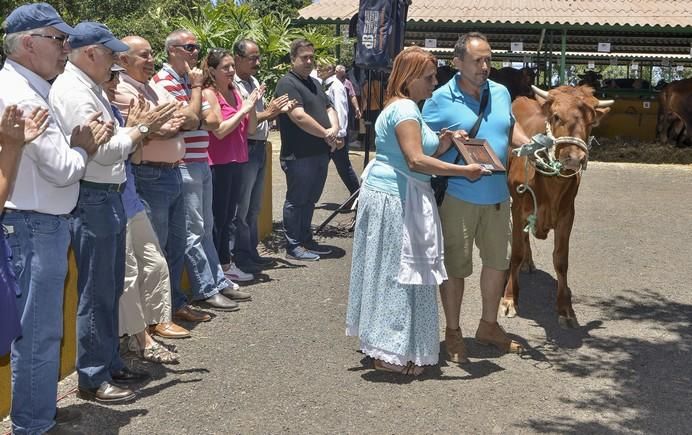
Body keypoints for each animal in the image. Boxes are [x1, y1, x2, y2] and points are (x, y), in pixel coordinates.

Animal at [500, 85, 612, 328]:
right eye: (557, 116)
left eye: (591, 122)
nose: (575, 158)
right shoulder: (519, 208)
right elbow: (516, 253)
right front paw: (510, 298)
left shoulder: (567, 215)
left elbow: (561, 260)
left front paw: (565, 308)